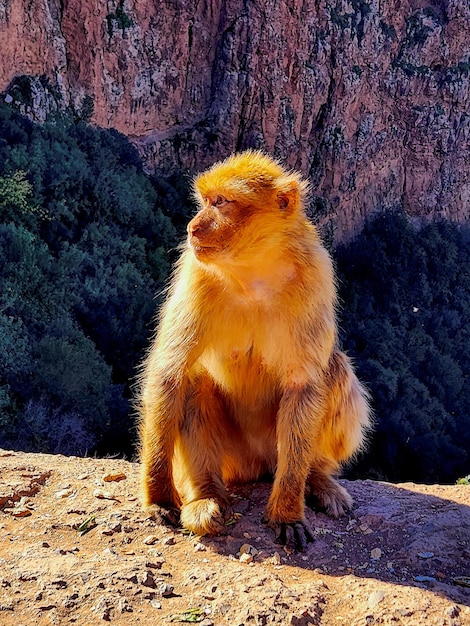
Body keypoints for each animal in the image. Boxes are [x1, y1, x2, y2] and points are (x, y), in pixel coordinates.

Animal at [136, 150, 370, 544]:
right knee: (195, 379)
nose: (192, 228)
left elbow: (303, 384)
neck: (253, 273)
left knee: (334, 369)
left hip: (273, 450)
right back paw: (206, 496)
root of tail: (258, 466)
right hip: (236, 459)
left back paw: (316, 477)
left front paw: (287, 512)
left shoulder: (316, 275)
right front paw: (159, 496)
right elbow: (171, 373)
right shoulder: (195, 272)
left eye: (221, 202)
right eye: (205, 201)